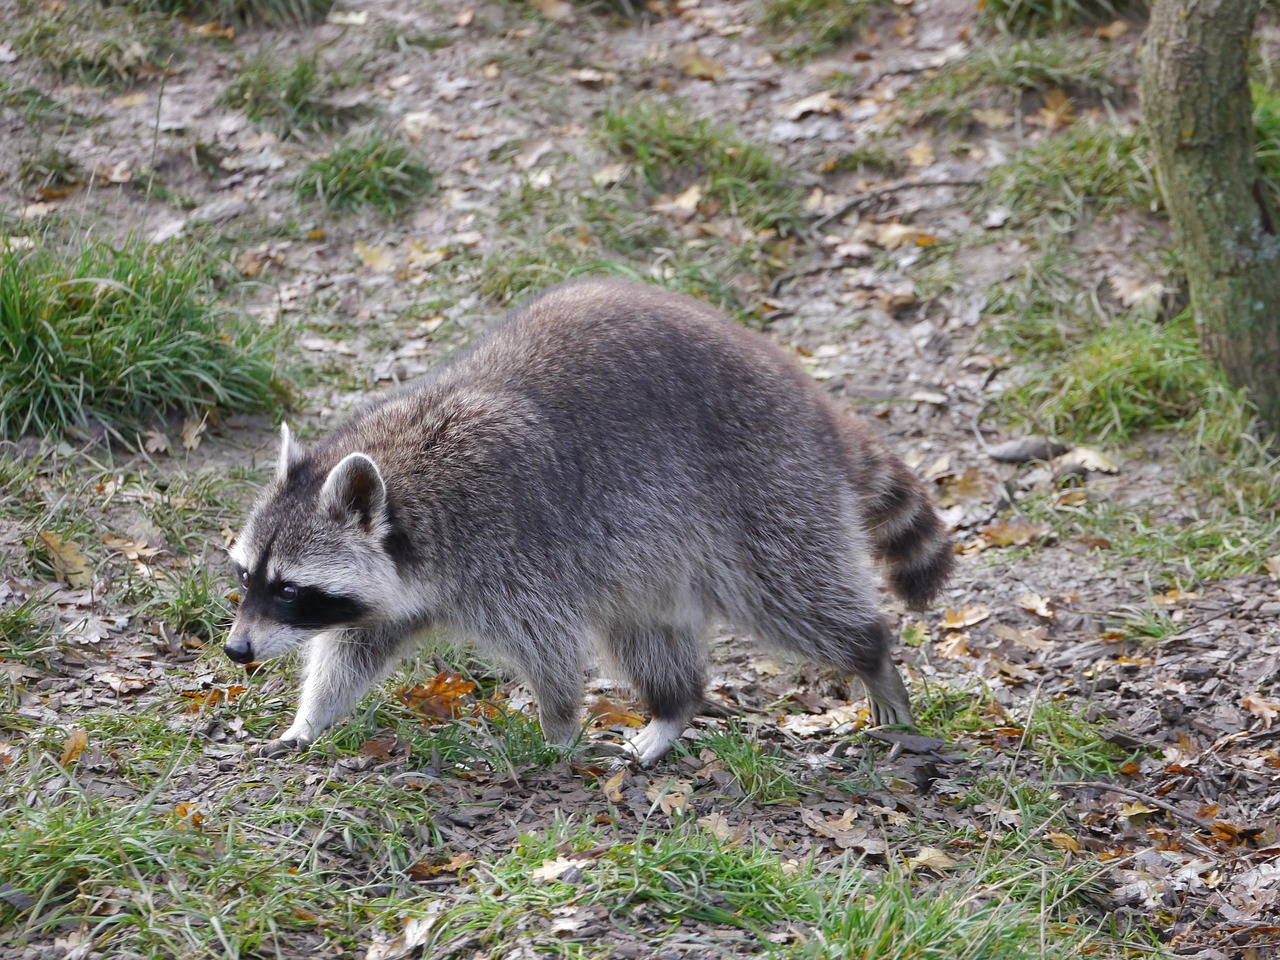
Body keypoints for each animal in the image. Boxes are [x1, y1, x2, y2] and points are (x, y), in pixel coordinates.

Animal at [226, 279, 954, 765]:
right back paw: (674, 706)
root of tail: (813, 402)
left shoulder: (511, 549)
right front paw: (311, 718)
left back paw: (869, 654)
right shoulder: (398, 588)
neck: (408, 494)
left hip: (764, 492)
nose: (236, 650)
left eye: (288, 589)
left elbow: (549, 647)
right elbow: (352, 650)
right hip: (654, 547)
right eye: (245, 578)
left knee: (792, 597)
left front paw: (559, 726)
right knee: (644, 625)